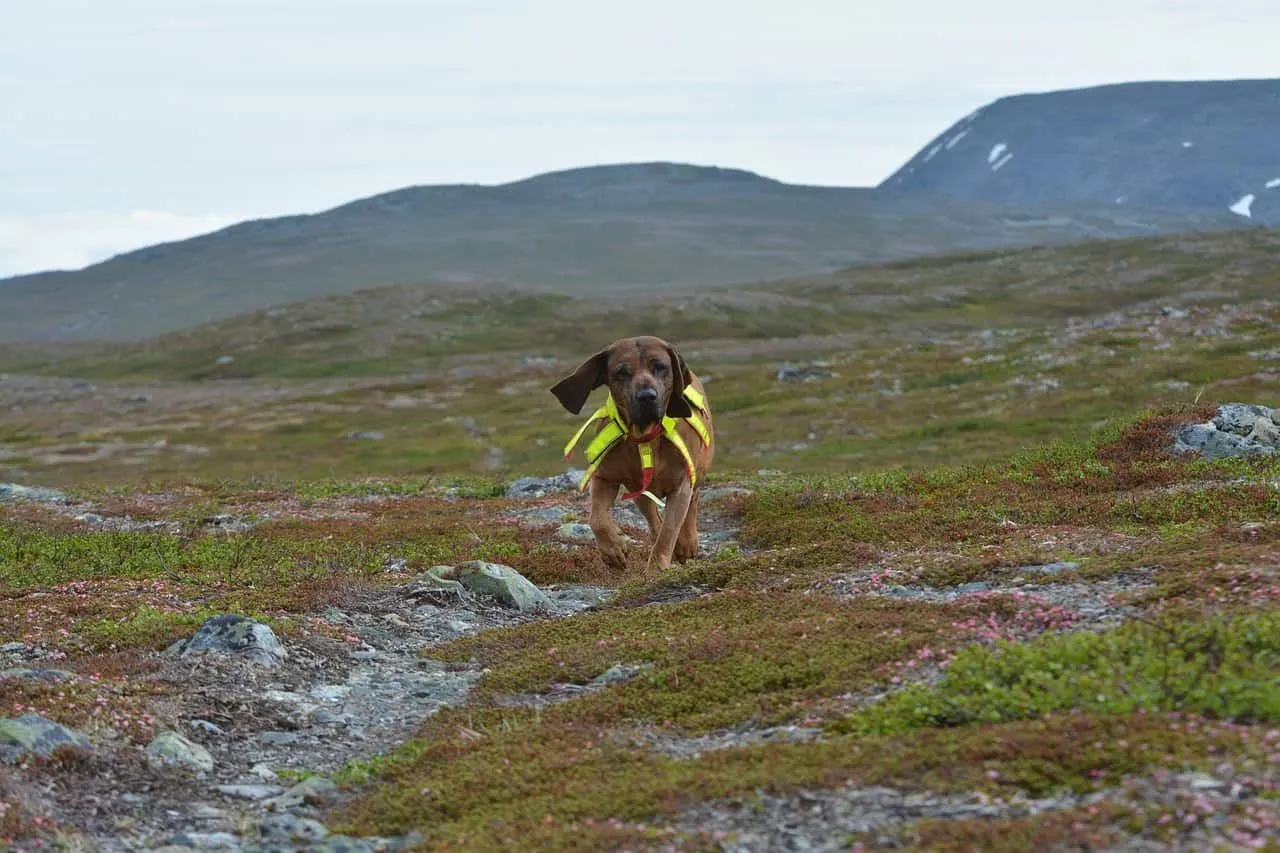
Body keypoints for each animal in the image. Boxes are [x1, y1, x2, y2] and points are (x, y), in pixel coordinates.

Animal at [547, 333, 716, 571]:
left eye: (660, 367)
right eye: (621, 372)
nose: (647, 396)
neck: (645, 438)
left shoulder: (680, 485)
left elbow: (669, 532)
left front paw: (656, 569)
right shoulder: (605, 478)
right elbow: (596, 519)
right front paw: (614, 550)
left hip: (697, 472)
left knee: (692, 502)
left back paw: (686, 543)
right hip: (638, 490)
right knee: (653, 519)